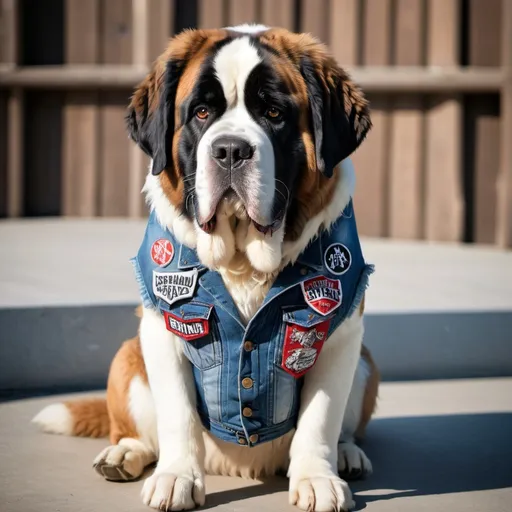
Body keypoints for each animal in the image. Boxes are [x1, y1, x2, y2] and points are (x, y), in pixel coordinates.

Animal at [34, 25, 380, 512]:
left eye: (273, 112)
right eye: (201, 112)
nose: (231, 149)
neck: (243, 260)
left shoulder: (340, 334)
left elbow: (321, 417)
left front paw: (317, 478)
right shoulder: (164, 329)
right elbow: (177, 414)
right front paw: (177, 477)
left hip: (367, 363)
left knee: (345, 425)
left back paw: (347, 454)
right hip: (128, 358)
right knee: (138, 428)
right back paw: (125, 452)